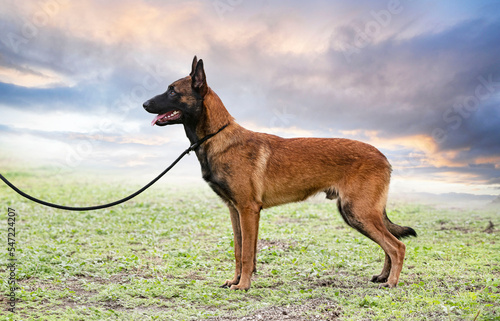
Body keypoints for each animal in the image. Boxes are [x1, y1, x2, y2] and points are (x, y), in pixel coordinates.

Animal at [143, 56, 416, 288]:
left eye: (172, 91)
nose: (144, 103)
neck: (216, 136)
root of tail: (383, 156)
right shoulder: (235, 211)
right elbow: (239, 250)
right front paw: (236, 281)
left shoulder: (248, 210)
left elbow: (247, 253)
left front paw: (243, 285)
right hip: (358, 214)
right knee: (388, 246)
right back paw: (383, 276)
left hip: (358, 212)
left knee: (396, 247)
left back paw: (392, 282)